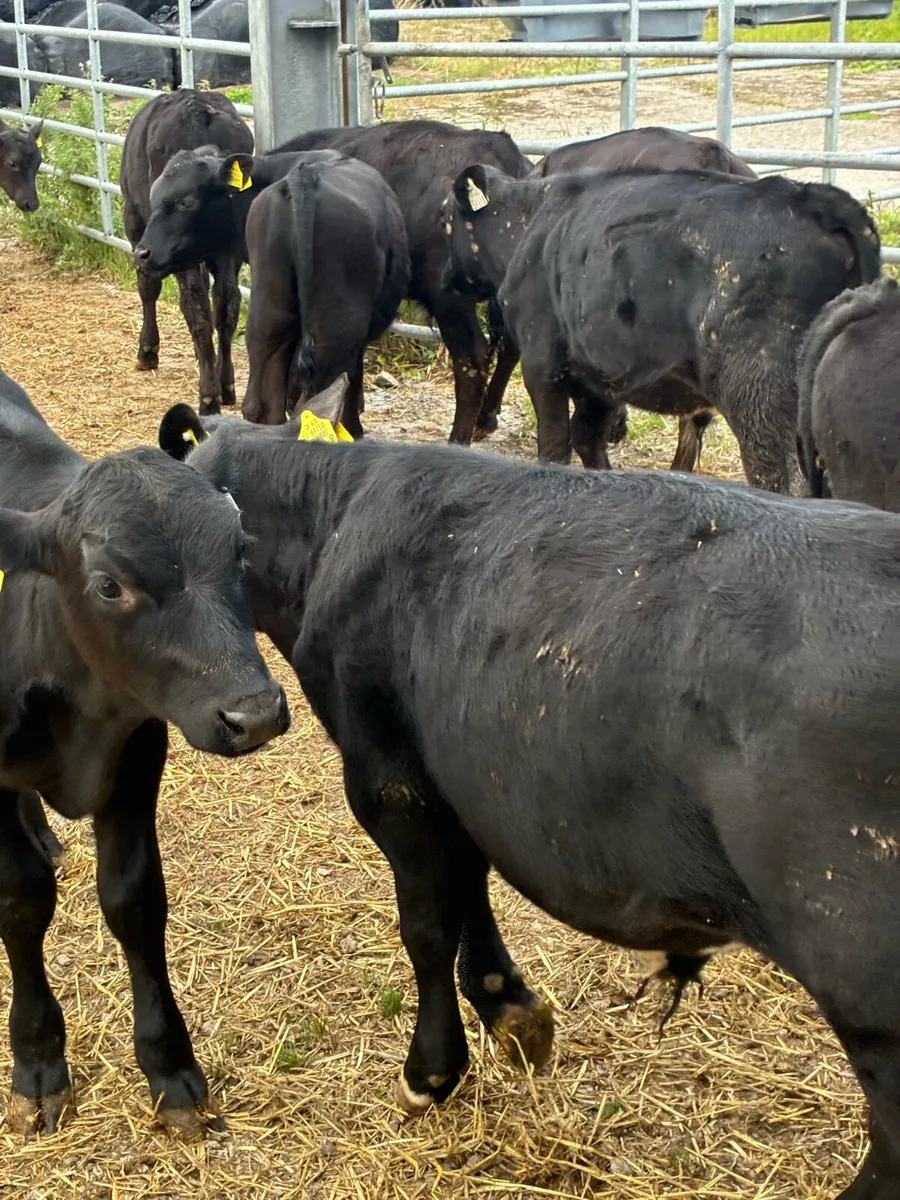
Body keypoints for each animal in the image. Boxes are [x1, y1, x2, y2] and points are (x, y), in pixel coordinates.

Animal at [0, 366, 289, 1137]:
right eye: (109, 584)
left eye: (241, 549)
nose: (254, 714)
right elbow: (20, 899)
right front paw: (38, 1060)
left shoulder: (137, 755)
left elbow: (134, 900)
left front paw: (169, 1066)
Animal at [119, 89, 253, 414]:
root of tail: (195, 107)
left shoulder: (137, 228)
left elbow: (148, 287)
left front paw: (147, 350)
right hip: (226, 248)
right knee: (225, 304)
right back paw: (225, 385)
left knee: (196, 305)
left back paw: (208, 397)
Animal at [161, 380, 900, 1200]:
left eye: (230, 542)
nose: (248, 717)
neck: (336, 523)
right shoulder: (457, 776)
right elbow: (469, 890)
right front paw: (509, 1007)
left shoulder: (389, 777)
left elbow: (427, 924)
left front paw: (432, 1070)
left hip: (867, 983)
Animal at [443, 165, 880, 493]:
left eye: (447, 220)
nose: (444, 279)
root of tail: (811, 199)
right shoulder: (600, 374)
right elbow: (587, 437)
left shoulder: (543, 361)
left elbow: (554, 445)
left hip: (760, 397)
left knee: (782, 481)